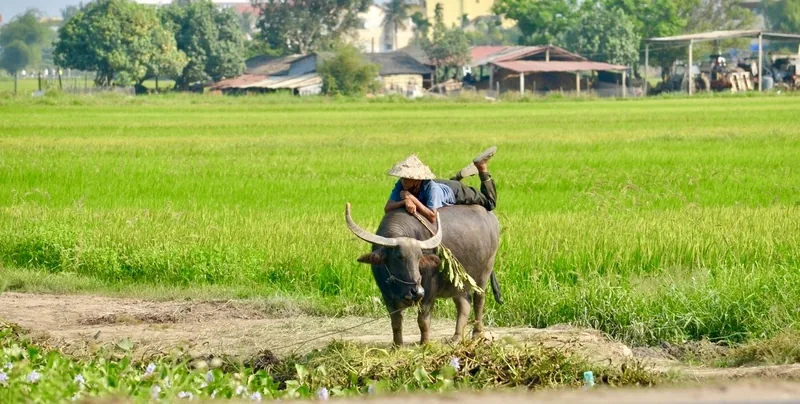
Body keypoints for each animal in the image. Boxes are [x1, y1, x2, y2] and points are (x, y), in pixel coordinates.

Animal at [345, 202, 502, 346]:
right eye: (398, 256)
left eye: (419, 257)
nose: (417, 292)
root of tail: (492, 217)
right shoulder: (387, 295)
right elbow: (396, 322)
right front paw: (397, 346)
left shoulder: (429, 293)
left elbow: (423, 321)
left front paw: (425, 344)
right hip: (459, 283)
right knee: (464, 304)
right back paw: (456, 338)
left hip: (485, 272)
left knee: (479, 301)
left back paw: (477, 334)